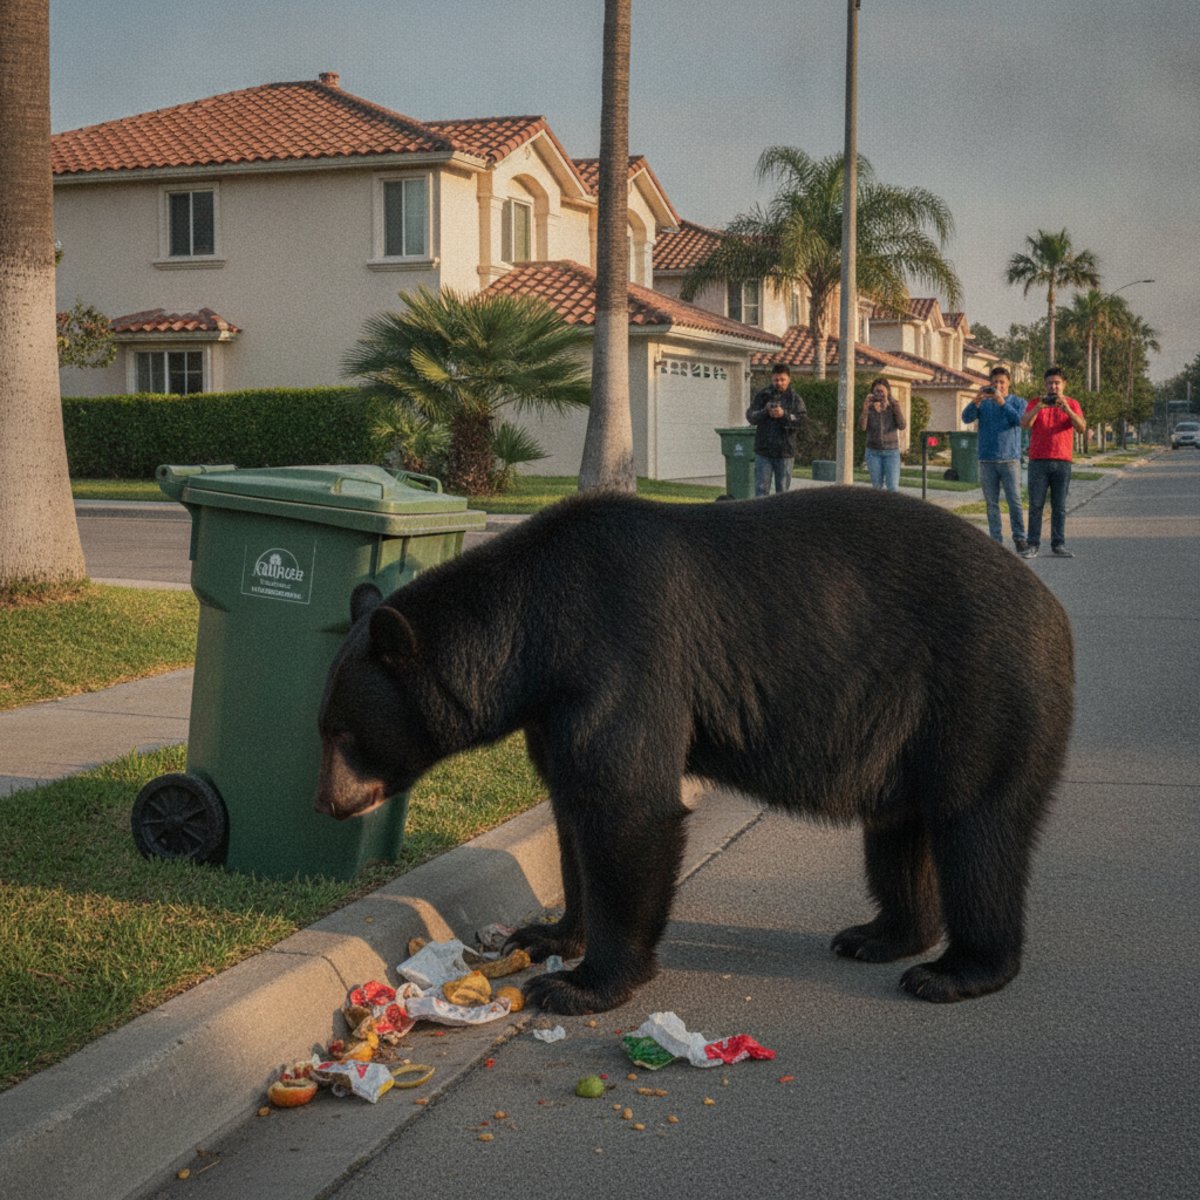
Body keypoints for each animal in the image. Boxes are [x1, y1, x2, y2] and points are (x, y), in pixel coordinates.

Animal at [315, 487, 1073, 1015]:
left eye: (343, 732)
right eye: (322, 724)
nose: (325, 803)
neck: (533, 631)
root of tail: (1053, 613)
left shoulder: (621, 655)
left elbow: (627, 806)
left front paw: (584, 986)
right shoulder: (553, 706)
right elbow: (572, 809)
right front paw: (548, 935)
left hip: (982, 690)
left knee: (977, 828)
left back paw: (957, 970)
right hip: (906, 726)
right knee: (897, 830)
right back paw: (879, 935)